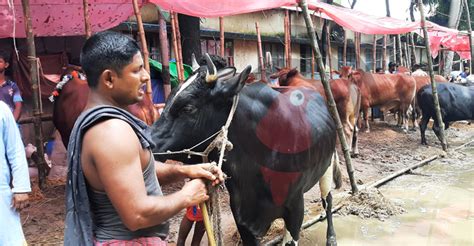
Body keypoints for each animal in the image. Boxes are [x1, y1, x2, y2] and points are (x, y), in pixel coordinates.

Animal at [152, 56, 340, 246]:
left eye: (188, 108)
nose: (149, 141)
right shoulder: (241, 215)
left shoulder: (295, 207)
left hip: (327, 166)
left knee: (328, 200)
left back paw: (331, 237)